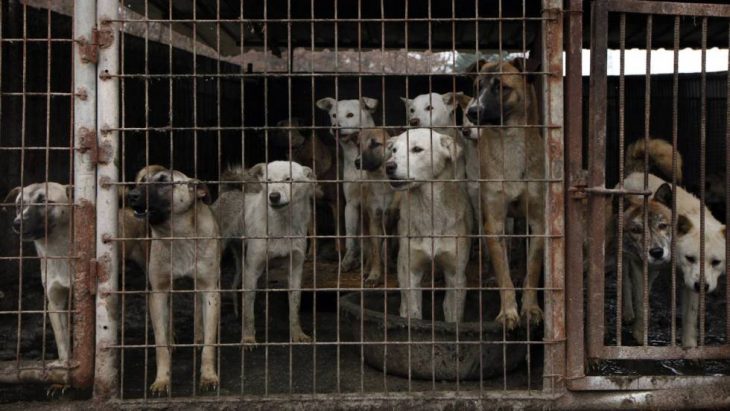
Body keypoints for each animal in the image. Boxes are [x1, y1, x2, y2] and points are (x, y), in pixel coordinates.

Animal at [316, 95, 378, 272]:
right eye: (333, 115)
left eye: (350, 115)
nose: (335, 128)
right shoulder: (350, 204)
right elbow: (350, 238)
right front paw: (348, 259)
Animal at [352, 129, 398, 286]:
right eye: (358, 145)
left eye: (375, 144)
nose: (357, 161)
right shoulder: (374, 221)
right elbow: (375, 252)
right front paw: (375, 275)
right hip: (364, 226)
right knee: (369, 250)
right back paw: (367, 269)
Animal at [464, 58, 544, 330]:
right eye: (476, 87)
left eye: (501, 88)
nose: (472, 112)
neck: (509, 142)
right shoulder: (495, 223)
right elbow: (503, 275)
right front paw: (508, 312)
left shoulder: (538, 222)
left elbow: (532, 271)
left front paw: (530, 309)